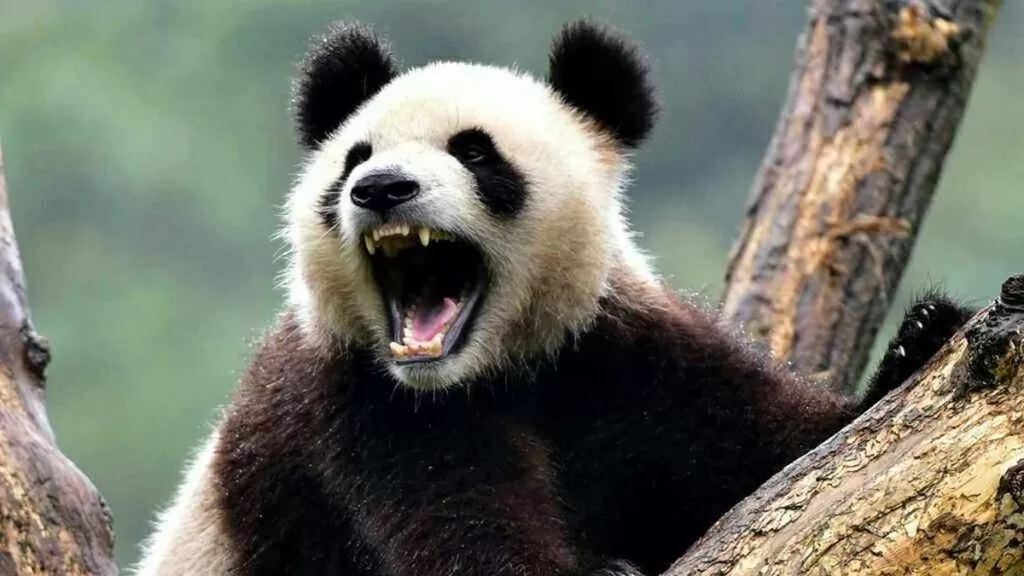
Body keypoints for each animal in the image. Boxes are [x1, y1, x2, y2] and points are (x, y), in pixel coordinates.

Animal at [132, 19, 976, 576]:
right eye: (355, 157)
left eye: (475, 152)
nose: (380, 189)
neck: (499, 366)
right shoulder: (358, 408)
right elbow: (466, 540)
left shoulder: (625, 353)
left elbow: (786, 455)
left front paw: (922, 336)